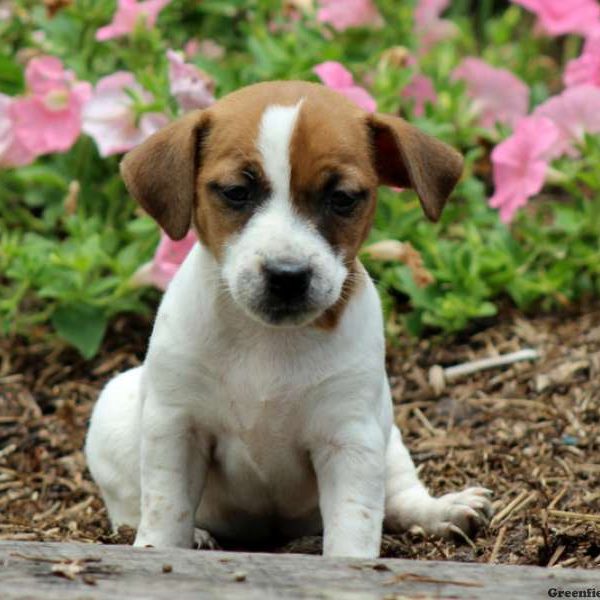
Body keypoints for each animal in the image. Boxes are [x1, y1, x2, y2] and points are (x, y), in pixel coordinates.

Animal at [86, 79, 494, 556]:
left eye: (342, 199)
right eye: (236, 192)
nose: (287, 275)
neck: (266, 340)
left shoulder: (350, 437)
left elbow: (355, 524)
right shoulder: (176, 426)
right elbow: (166, 511)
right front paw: (160, 551)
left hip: (387, 436)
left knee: (397, 498)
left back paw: (440, 511)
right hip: (117, 412)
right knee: (129, 507)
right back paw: (197, 536)